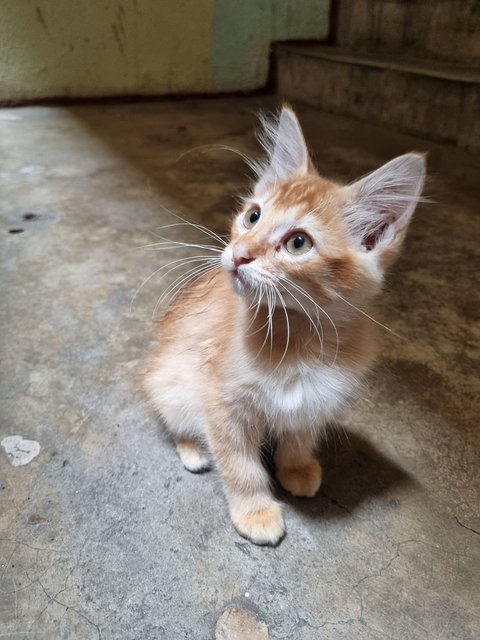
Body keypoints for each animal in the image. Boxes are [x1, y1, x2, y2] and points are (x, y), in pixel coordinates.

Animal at [142, 105, 424, 544]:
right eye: (252, 216)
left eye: (298, 243)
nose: (238, 254)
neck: (298, 336)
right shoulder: (220, 403)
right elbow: (238, 465)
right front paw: (255, 511)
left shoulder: (318, 397)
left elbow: (300, 436)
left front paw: (297, 467)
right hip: (170, 380)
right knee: (175, 419)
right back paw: (193, 448)